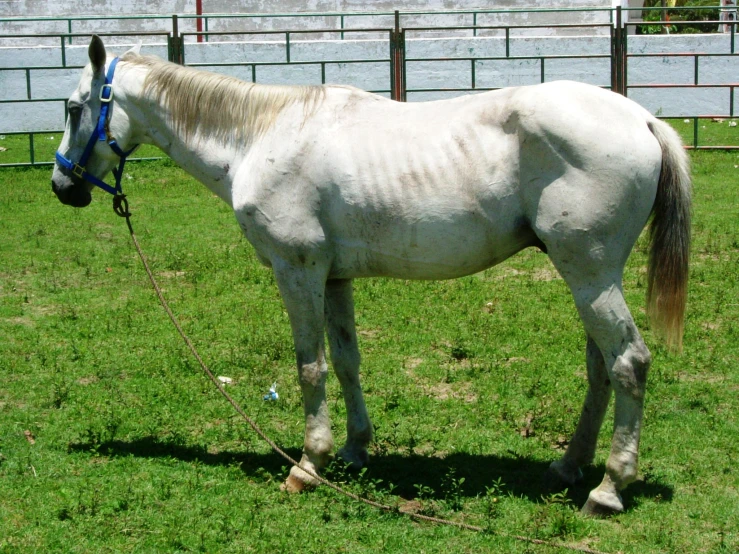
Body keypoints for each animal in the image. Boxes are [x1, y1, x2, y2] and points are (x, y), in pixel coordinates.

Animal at [49, 37, 692, 512]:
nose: (62, 185)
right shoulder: (334, 278)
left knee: (628, 363)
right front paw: (355, 449)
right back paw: (568, 466)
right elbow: (346, 361)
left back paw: (607, 489)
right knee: (601, 368)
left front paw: (309, 465)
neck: (260, 135)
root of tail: (641, 119)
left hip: (590, 274)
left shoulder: (298, 271)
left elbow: (309, 367)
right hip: (589, 277)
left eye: (75, 108)